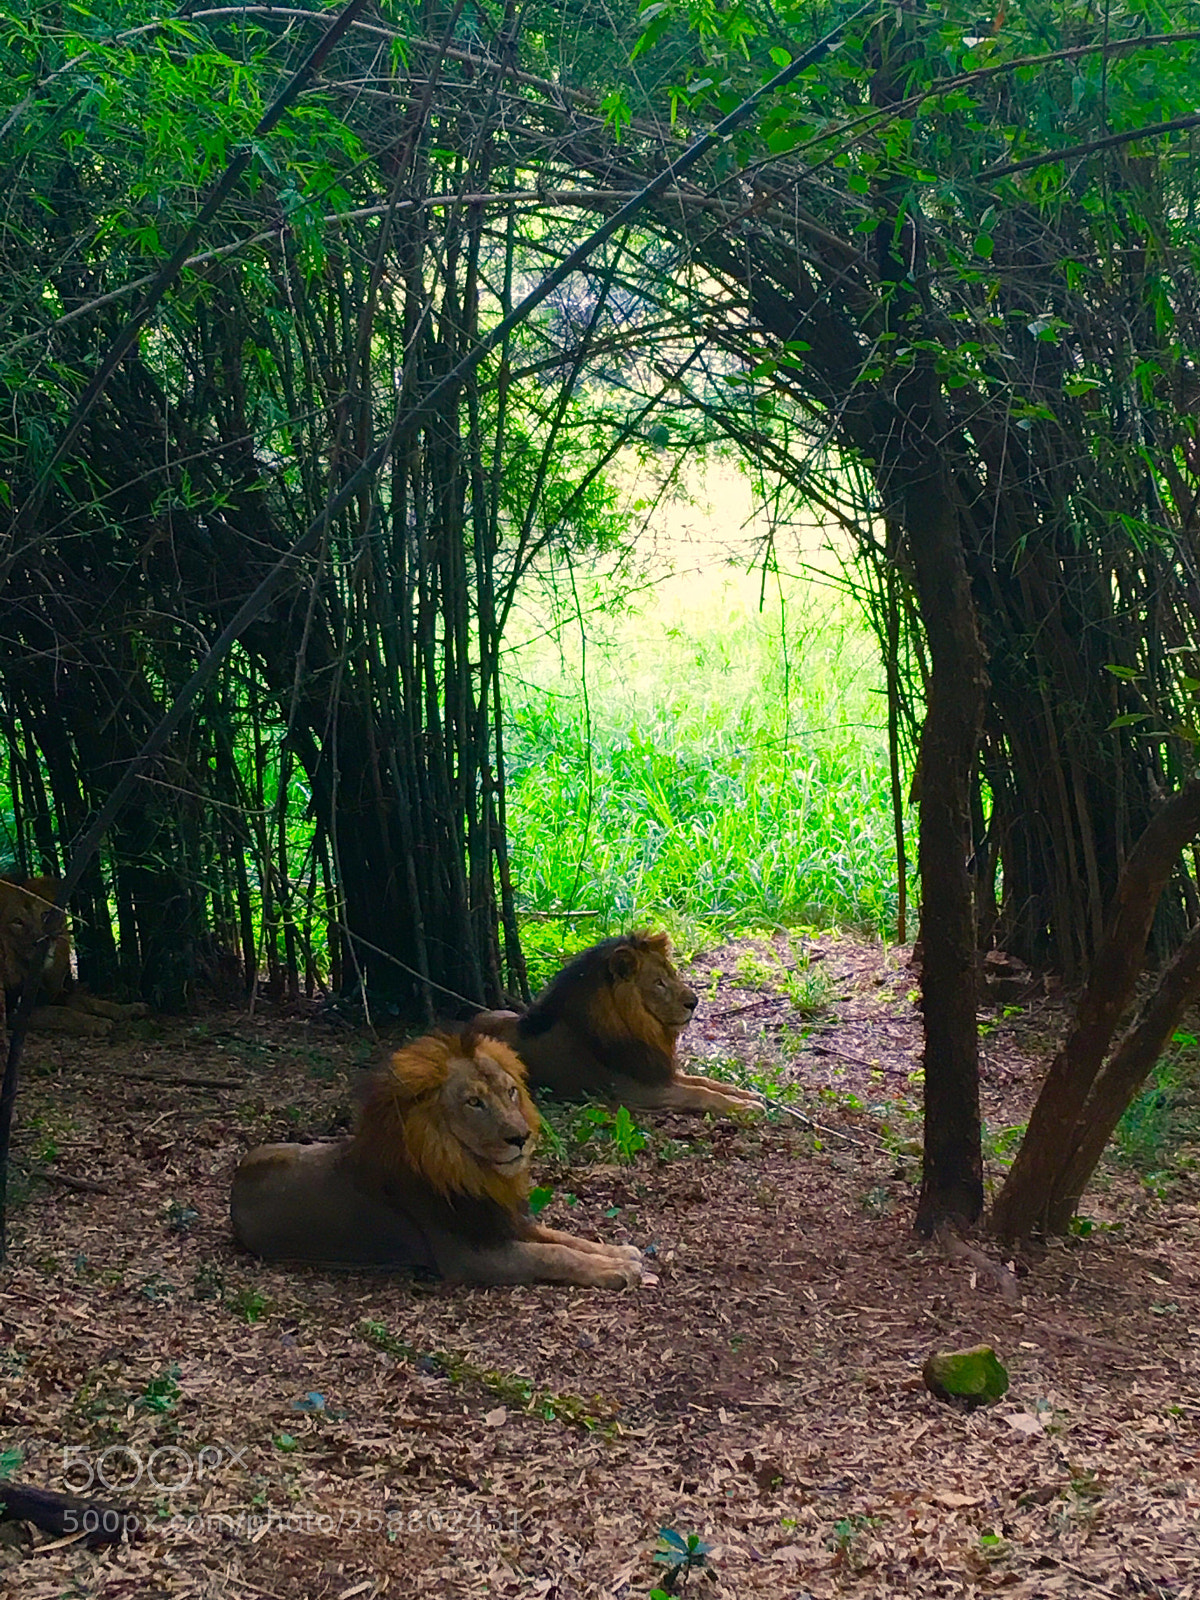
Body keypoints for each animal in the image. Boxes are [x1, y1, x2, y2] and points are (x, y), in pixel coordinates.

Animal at [0, 876, 147, 1037]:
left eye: (45, 915)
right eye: (17, 922)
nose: (46, 942)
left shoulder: (52, 995)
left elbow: (91, 1002)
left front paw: (130, 1009)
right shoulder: (12, 1013)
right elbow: (61, 1013)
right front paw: (97, 1022)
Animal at [229, 1031, 642, 1288]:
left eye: (510, 1092)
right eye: (474, 1102)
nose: (520, 1138)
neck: (471, 1170)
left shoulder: (503, 1222)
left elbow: (564, 1238)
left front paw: (620, 1252)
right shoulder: (472, 1257)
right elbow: (553, 1255)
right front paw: (618, 1270)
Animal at [472, 931, 762, 1116]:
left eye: (672, 974)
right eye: (658, 983)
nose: (694, 1002)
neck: (642, 1030)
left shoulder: (657, 1072)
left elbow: (706, 1082)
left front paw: (750, 1095)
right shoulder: (636, 1091)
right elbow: (700, 1093)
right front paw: (747, 1108)